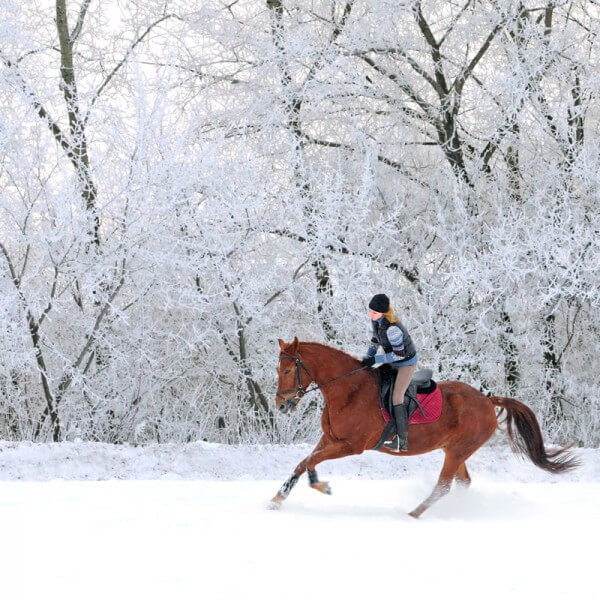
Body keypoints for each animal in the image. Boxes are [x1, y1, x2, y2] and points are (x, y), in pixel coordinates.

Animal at [270, 336, 580, 516]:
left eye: (288, 370)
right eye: (278, 369)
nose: (281, 406)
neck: (348, 390)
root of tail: (487, 400)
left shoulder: (350, 446)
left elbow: (311, 461)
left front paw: (321, 486)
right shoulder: (330, 439)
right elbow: (303, 462)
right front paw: (277, 499)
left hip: (457, 451)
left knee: (443, 486)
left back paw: (413, 514)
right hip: (455, 451)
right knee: (462, 482)